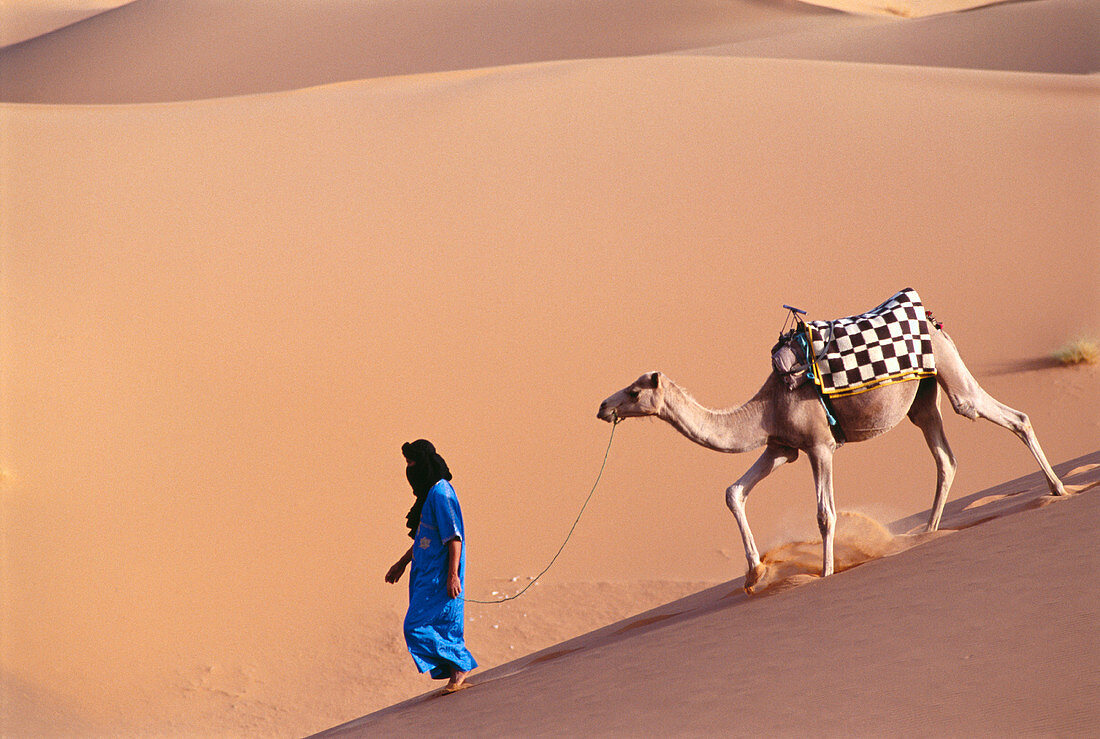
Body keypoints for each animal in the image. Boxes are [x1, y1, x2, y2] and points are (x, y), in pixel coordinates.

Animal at [598, 321, 1069, 585]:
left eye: (635, 391)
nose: (603, 406)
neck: (765, 408)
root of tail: (935, 323)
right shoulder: (782, 448)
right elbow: (734, 491)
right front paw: (754, 572)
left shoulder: (819, 445)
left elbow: (825, 513)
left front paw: (824, 573)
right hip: (922, 396)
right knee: (945, 458)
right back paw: (927, 532)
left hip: (950, 374)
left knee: (1007, 416)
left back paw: (1058, 490)